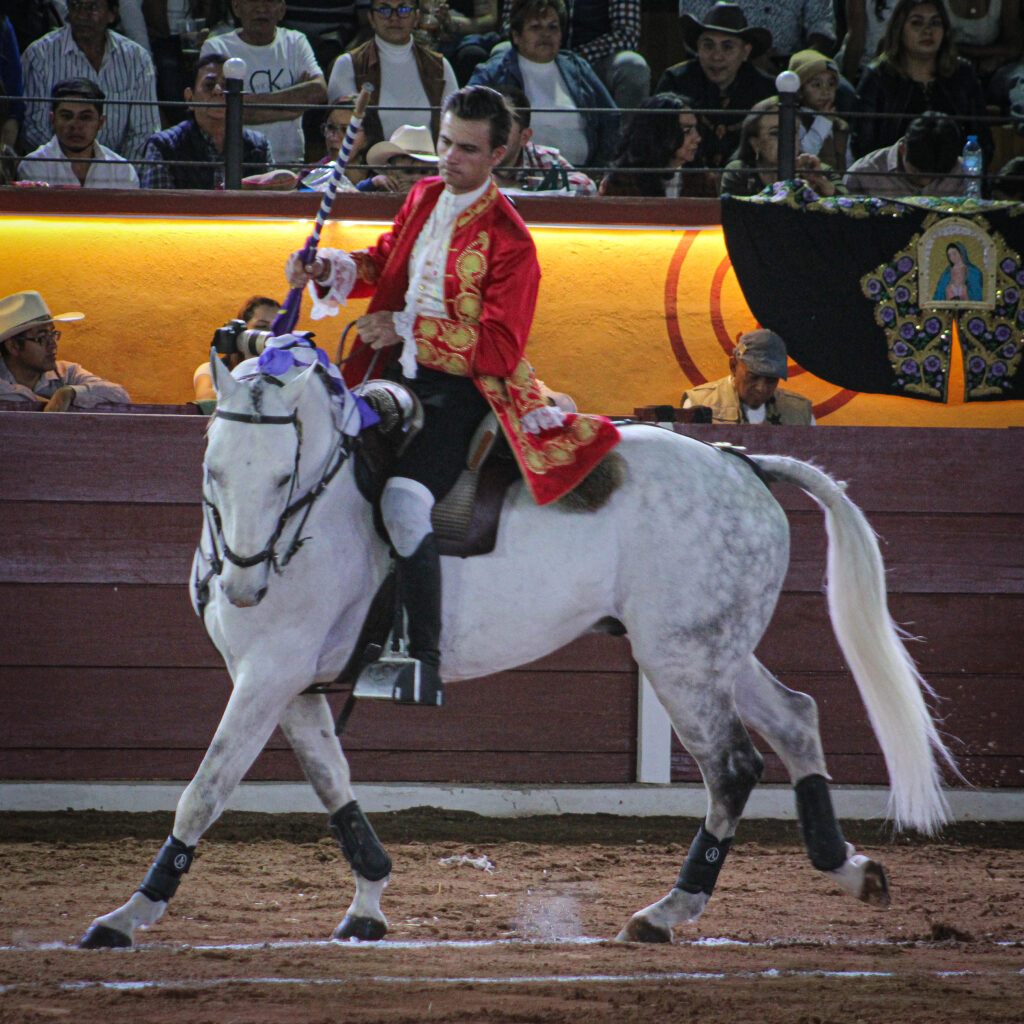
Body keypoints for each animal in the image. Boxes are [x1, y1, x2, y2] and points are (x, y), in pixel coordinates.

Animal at [77, 360, 950, 950]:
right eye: (212, 468)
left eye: (284, 471)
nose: (246, 586)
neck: (320, 510)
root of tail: (742, 460)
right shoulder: (293, 685)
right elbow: (334, 785)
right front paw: (368, 905)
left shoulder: (269, 675)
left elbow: (204, 791)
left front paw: (126, 917)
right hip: (712, 651)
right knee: (797, 718)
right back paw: (847, 868)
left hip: (681, 661)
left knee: (732, 767)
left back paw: (667, 912)